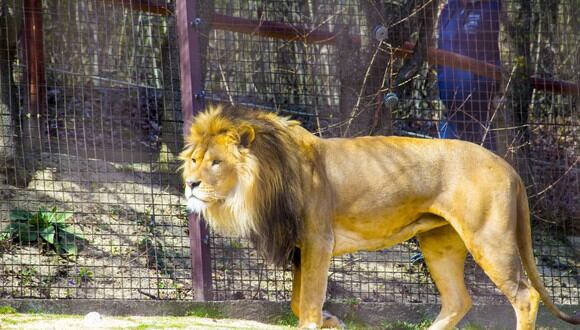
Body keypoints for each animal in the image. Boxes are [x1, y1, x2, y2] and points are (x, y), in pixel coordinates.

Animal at [181, 106, 580, 330]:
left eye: (216, 162)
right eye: (194, 159)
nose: (190, 184)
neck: (264, 179)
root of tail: (509, 167)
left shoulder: (317, 240)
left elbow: (307, 302)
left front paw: (318, 321)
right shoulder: (299, 249)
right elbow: (298, 300)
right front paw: (331, 321)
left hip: (488, 238)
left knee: (525, 296)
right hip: (439, 244)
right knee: (458, 301)